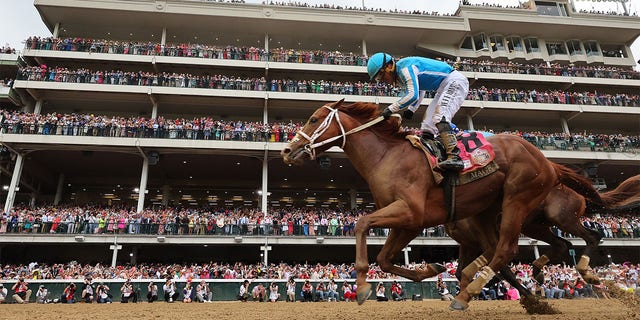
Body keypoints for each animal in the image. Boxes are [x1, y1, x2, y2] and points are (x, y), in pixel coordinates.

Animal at [280, 100, 564, 310]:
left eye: (314, 119)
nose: (287, 150)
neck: (386, 157)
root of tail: (547, 161)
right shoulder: (408, 223)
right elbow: (383, 260)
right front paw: (431, 268)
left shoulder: (410, 213)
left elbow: (361, 224)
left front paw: (361, 286)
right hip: (485, 210)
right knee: (500, 252)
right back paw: (529, 292)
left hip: (518, 200)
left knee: (507, 249)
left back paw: (469, 294)